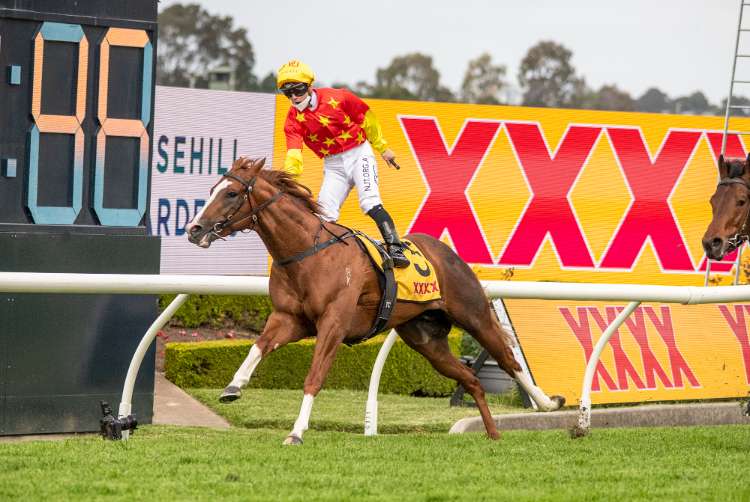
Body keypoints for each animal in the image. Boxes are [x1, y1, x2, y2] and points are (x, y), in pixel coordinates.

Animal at [185, 157, 565, 445]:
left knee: (509, 360)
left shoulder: (333, 324)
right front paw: (233, 387)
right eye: (212, 190)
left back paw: (548, 403)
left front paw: (296, 432)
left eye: (231, 192)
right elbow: (258, 346)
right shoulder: (290, 319)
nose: (194, 229)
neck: (307, 252)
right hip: (426, 340)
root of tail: (448, 253)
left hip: (474, 316)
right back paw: (493, 433)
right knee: (471, 379)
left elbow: (314, 377)